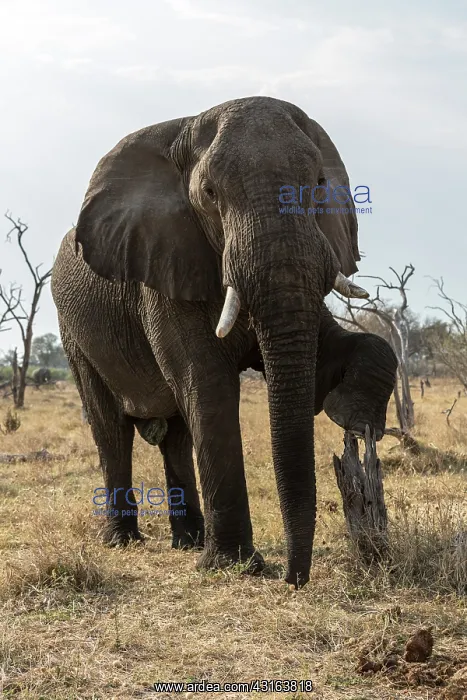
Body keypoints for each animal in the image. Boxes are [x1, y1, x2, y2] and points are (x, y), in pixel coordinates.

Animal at [51, 96, 396, 588]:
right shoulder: (163, 269)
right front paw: (237, 566)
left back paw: (189, 541)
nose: (292, 578)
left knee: (175, 436)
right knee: (110, 428)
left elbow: (339, 353)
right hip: (75, 335)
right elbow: (208, 386)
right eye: (211, 194)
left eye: (319, 185)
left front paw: (354, 418)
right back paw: (123, 541)